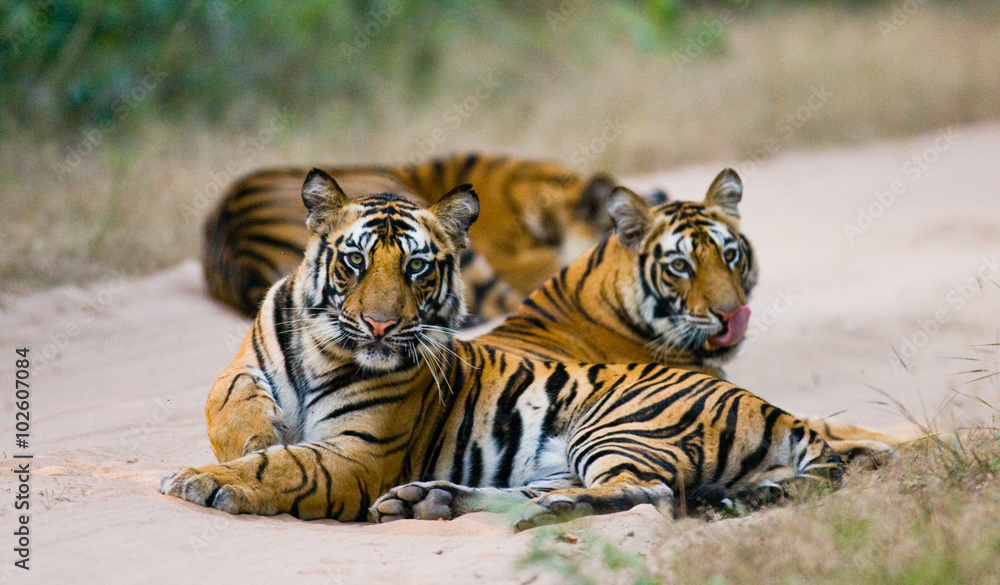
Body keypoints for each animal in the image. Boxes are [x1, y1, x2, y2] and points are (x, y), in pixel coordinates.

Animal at [159, 169, 844, 528]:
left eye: (416, 268)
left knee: (648, 495)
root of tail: (770, 407)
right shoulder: (247, 364)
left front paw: (205, 478)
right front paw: (250, 439)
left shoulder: (357, 456)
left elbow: (286, 466)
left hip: (620, 427)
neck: (322, 351)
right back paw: (433, 499)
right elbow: (229, 399)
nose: (379, 326)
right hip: (566, 453)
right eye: (354, 262)